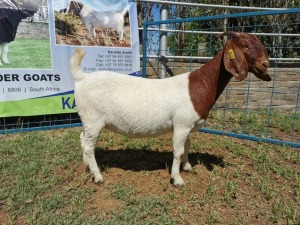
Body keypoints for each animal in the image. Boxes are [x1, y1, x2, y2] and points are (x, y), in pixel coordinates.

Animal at [69, 31, 270, 186]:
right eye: (244, 45)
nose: (265, 64)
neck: (200, 85)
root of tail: (82, 77)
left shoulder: (187, 125)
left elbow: (187, 145)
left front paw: (187, 167)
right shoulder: (181, 124)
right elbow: (178, 151)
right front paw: (177, 179)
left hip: (87, 121)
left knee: (82, 138)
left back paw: (87, 165)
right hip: (94, 120)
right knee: (88, 145)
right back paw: (97, 176)